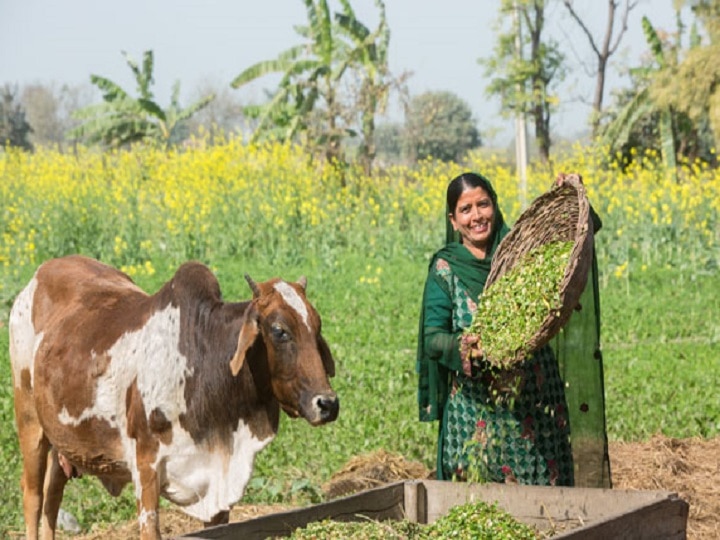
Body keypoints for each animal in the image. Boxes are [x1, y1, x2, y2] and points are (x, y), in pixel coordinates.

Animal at [7, 255, 340, 536]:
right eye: (279, 330)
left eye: (317, 325)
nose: (327, 404)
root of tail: (42, 272)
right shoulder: (146, 470)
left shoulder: (218, 489)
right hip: (30, 422)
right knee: (33, 497)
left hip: (60, 440)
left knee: (52, 497)